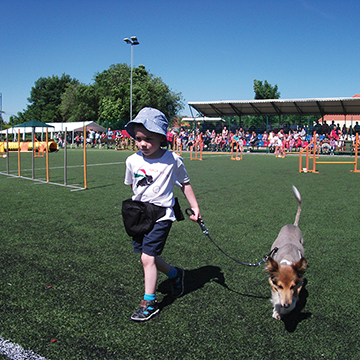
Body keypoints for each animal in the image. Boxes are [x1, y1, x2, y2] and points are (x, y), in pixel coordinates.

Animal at [266, 187, 308, 320]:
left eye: (292, 286)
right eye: (280, 286)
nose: (285, 304)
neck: (287, 260)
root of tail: (293, 225)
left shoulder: (299, 284)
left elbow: (293, 303)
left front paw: (283, 311)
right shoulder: (272, 283)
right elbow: (276, 298)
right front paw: (277, 310)